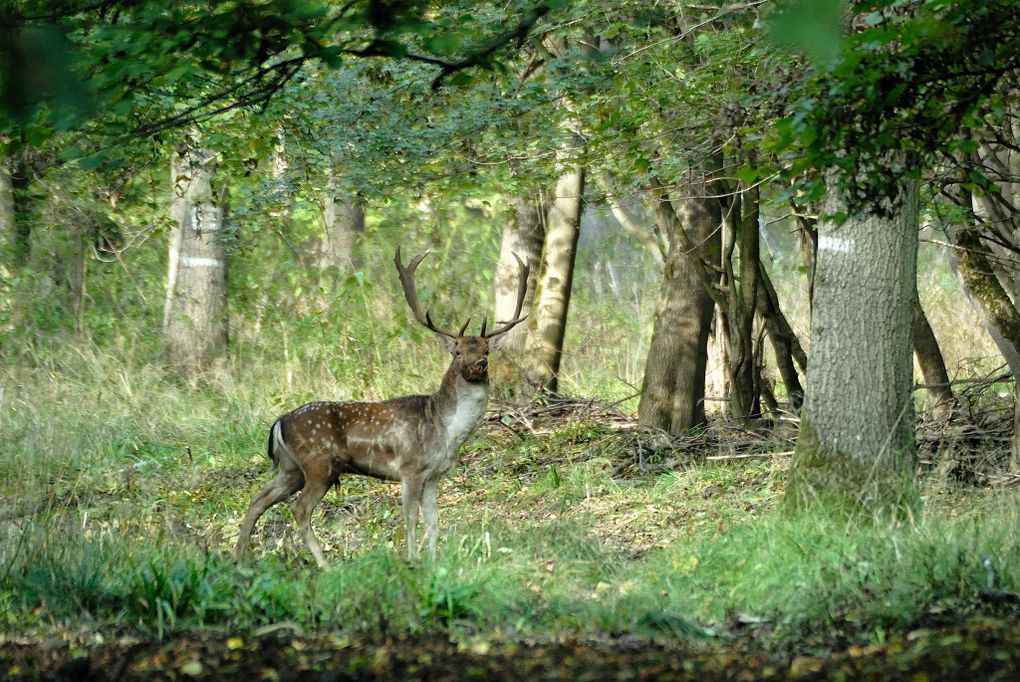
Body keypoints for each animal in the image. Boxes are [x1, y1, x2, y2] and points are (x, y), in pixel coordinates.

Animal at [232, 247, 530, 566]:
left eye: (486, 351)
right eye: (457, 351)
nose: (477, 366)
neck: (445, 430)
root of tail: (279, 423)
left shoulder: (434, 474)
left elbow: (433, 519)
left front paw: (434, 559)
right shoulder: (410, 468)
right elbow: (411, 517)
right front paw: (412, 558)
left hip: (291, 469)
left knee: (258, 498)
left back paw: (240, 557)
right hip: (319, 464)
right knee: (299, 509)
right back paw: (324, 564)